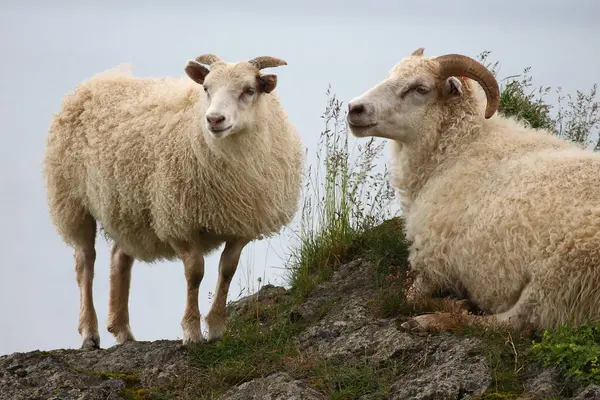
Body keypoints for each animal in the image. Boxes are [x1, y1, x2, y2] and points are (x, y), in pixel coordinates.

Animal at [42, 54, 304, 350]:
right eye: (206, 88)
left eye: (249, 90)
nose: (214, 119)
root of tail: (98, 81)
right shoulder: (179, 220)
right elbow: (195, 274)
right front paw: (191, 331)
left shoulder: (241, 225)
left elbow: (227, 271)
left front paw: (216, 327)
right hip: (72, 200)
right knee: (85, 263)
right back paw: (89, 333)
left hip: (128, 207)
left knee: (119, 258)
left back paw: (123, 330)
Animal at [344, 47, 600, 332]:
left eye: (420, 88)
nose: (355, 109)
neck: (459, 147)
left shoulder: (435, 260)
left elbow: (410, 296)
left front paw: (453, 304)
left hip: (561, 275)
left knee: (511, 323)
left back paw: (431, 320)